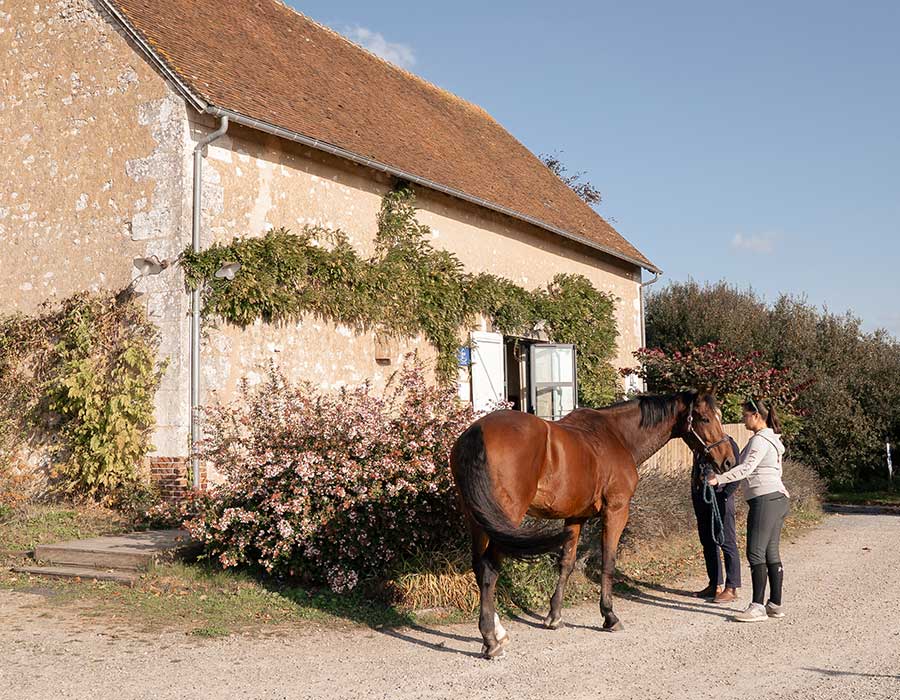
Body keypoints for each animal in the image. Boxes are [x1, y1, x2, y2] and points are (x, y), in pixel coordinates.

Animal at [449, 390, 733, 658]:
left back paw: (497, 632)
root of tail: (477, 432)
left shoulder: (575, 517)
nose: (728, 461)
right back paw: (491, 640)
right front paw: (609, 616)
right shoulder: (616, 511)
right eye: (705, 418)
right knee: (489, 571)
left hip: (478, 519)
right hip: (505, 518)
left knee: (480, 568)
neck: (618, 436)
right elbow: (608, 561)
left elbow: (567, 563)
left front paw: (554, 616)